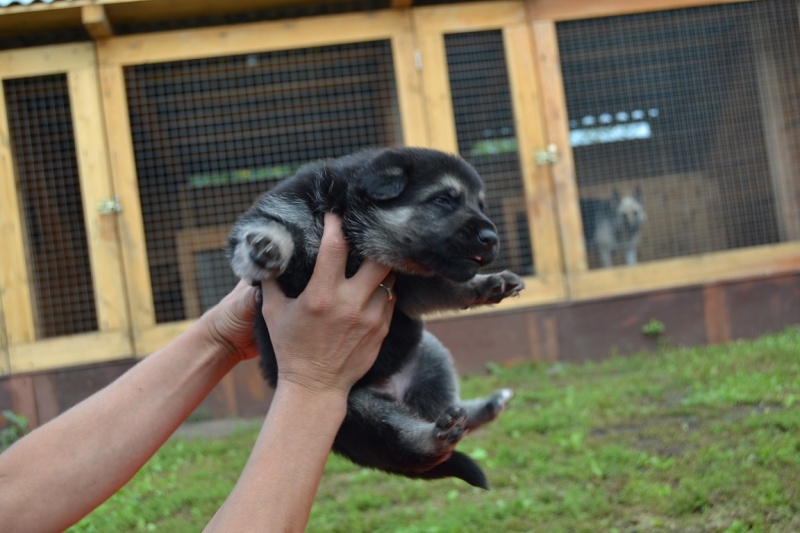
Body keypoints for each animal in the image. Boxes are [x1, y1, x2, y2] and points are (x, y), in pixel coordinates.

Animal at [227, 145, 524, 486]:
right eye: (443, 200)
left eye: (481, 205)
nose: (492, 238)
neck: (357, 236)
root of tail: (393, 392)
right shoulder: (285, 207)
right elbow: (270, 226)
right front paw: (265, 247)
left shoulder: (408, 286)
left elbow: (447, 288)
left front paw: (490, 284)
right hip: (354, 410)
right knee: (407, 444)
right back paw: (433, 439)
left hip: (429, 355)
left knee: (446, 411)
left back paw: (486, 407)